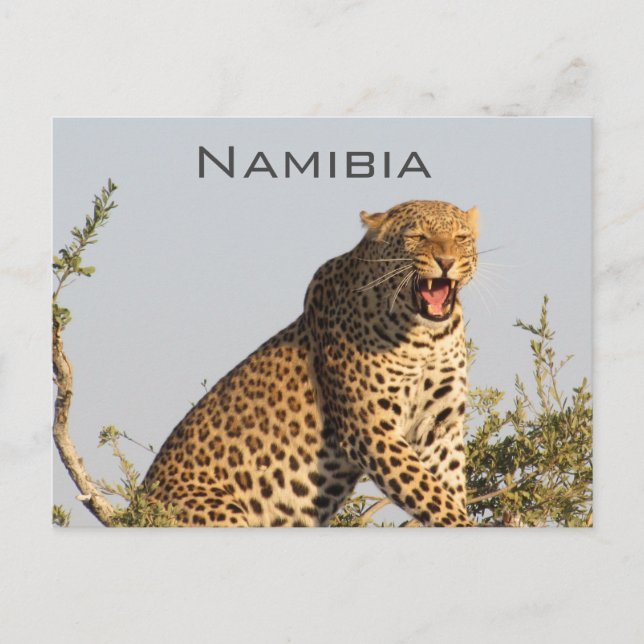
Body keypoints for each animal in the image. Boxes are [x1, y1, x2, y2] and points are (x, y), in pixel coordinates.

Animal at [142, 200, 479, 527]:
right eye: (418, 237)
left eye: (461, 238)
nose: (446, 262)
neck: (426, 338)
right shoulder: (370, 428)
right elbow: (428, 492)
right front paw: (461, 525)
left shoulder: (440, 426)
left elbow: (446, 488)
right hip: (220, 513)